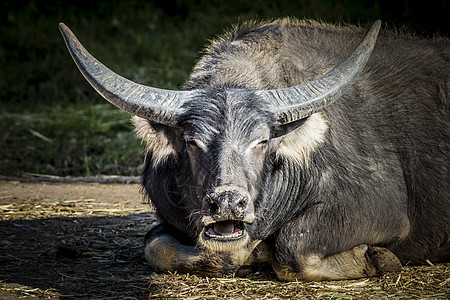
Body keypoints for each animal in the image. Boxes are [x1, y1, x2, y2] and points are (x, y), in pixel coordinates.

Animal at [59, 18, 446, 280]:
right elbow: (158, 247)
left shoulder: (381, 210)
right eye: (192, 142)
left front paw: (377, 259)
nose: (228, 203)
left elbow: (294, 247)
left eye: (261, 141)